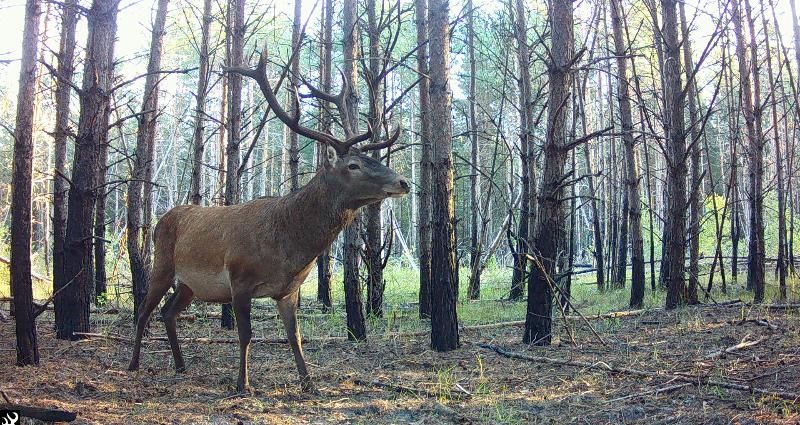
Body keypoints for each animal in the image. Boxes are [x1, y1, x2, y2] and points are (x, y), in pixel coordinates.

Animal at [127, 49, 409, 393]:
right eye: (353, 165)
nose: (402, 182)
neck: (288, 248)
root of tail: (161, 220)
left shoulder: (289, 290)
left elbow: (295, 336)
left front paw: (308, 383)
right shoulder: (239, 279)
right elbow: (246, 334)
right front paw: (242, 383)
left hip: (190, 284)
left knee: (167, 313)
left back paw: (181, 365)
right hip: (162, 265)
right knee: (144, 310)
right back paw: (133, 363)